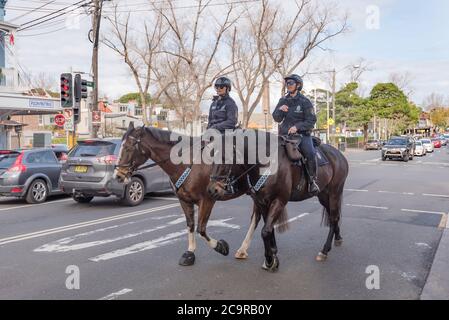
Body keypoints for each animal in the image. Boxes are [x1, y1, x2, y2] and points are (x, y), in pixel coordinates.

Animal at [114, 121, 262, 266]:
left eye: (129, 147)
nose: (118, 176)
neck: (188, 164)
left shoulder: (207, 200)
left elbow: (201, 229)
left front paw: (221, 247)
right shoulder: (184, 200)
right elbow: (190, 225)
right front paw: (190, 253)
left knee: (255, 218)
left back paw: (243, 249)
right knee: (256, 217)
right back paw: (243, 249)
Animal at [207, 129, 350, 272]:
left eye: (225, 158)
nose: (212, 189)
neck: (266, 164)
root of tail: (338, 154)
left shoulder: (279, 201)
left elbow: (265, 231)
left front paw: (270, 260)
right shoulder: (262, 202)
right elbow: (269, 229)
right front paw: (273, 254)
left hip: (334, 193)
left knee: (333, 218)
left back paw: (324, 250)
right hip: (323, 195)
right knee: (333, 216)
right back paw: (338, 238)